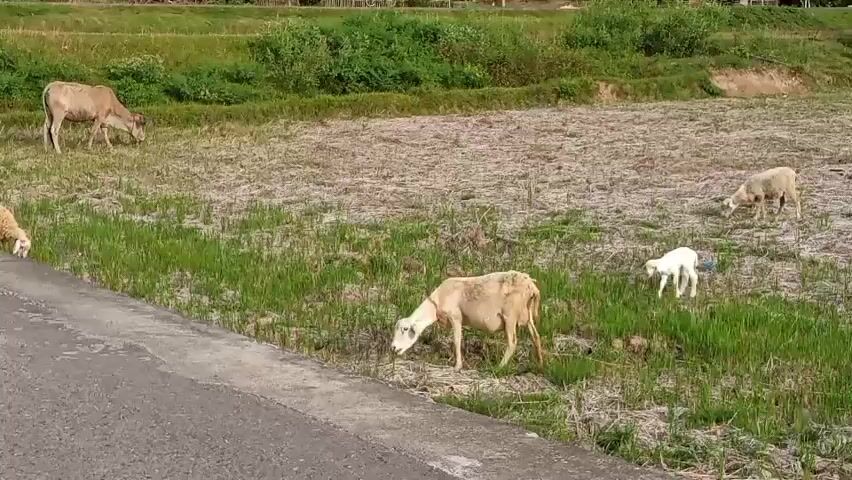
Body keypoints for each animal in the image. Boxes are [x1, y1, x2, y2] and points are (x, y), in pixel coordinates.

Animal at [390, 270, 544, 371]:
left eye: (405, 329)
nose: (393, 348)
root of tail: (532, 286)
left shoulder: (455, 317)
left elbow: (457, 340)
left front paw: (457, 366)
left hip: (510, 316)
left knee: (512, 342)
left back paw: (499, 367)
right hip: (528, 314)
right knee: (536, 337)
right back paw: (541, 364)